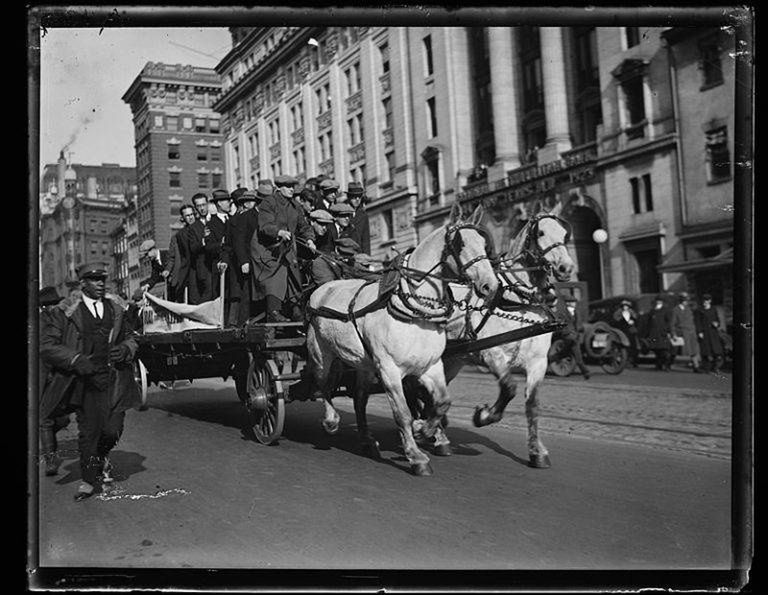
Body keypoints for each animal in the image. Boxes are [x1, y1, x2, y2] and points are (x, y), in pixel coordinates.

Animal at [306, 204, 498, 474]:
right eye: (459, 243)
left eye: (483, 243)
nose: (491, 285)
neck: (415, 311)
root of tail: (322, 290)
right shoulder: (389, 370)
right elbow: (403, 414)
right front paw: (416, 456)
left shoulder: (430, 366)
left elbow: (442, 402)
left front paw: (425, 431)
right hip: (322, 354)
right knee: (322, 385)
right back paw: (331, 421)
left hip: (363, 364)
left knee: (359, 398)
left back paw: (367, 440)